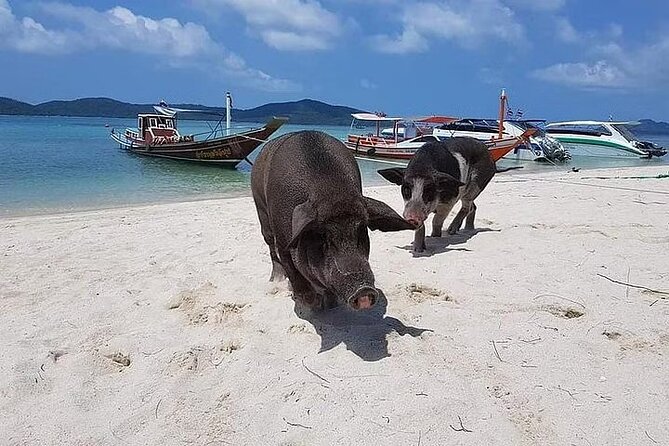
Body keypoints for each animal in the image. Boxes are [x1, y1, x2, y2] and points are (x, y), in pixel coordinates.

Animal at [252, 129, 414, 310]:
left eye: (361, 230)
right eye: (322, 236)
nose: (364, 291)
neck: (331, 190)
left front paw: (330, 304)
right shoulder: (283, 241)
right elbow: (292, 270)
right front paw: (312, 302)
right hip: (261, 211)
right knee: (271, 247)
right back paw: (277, 280)